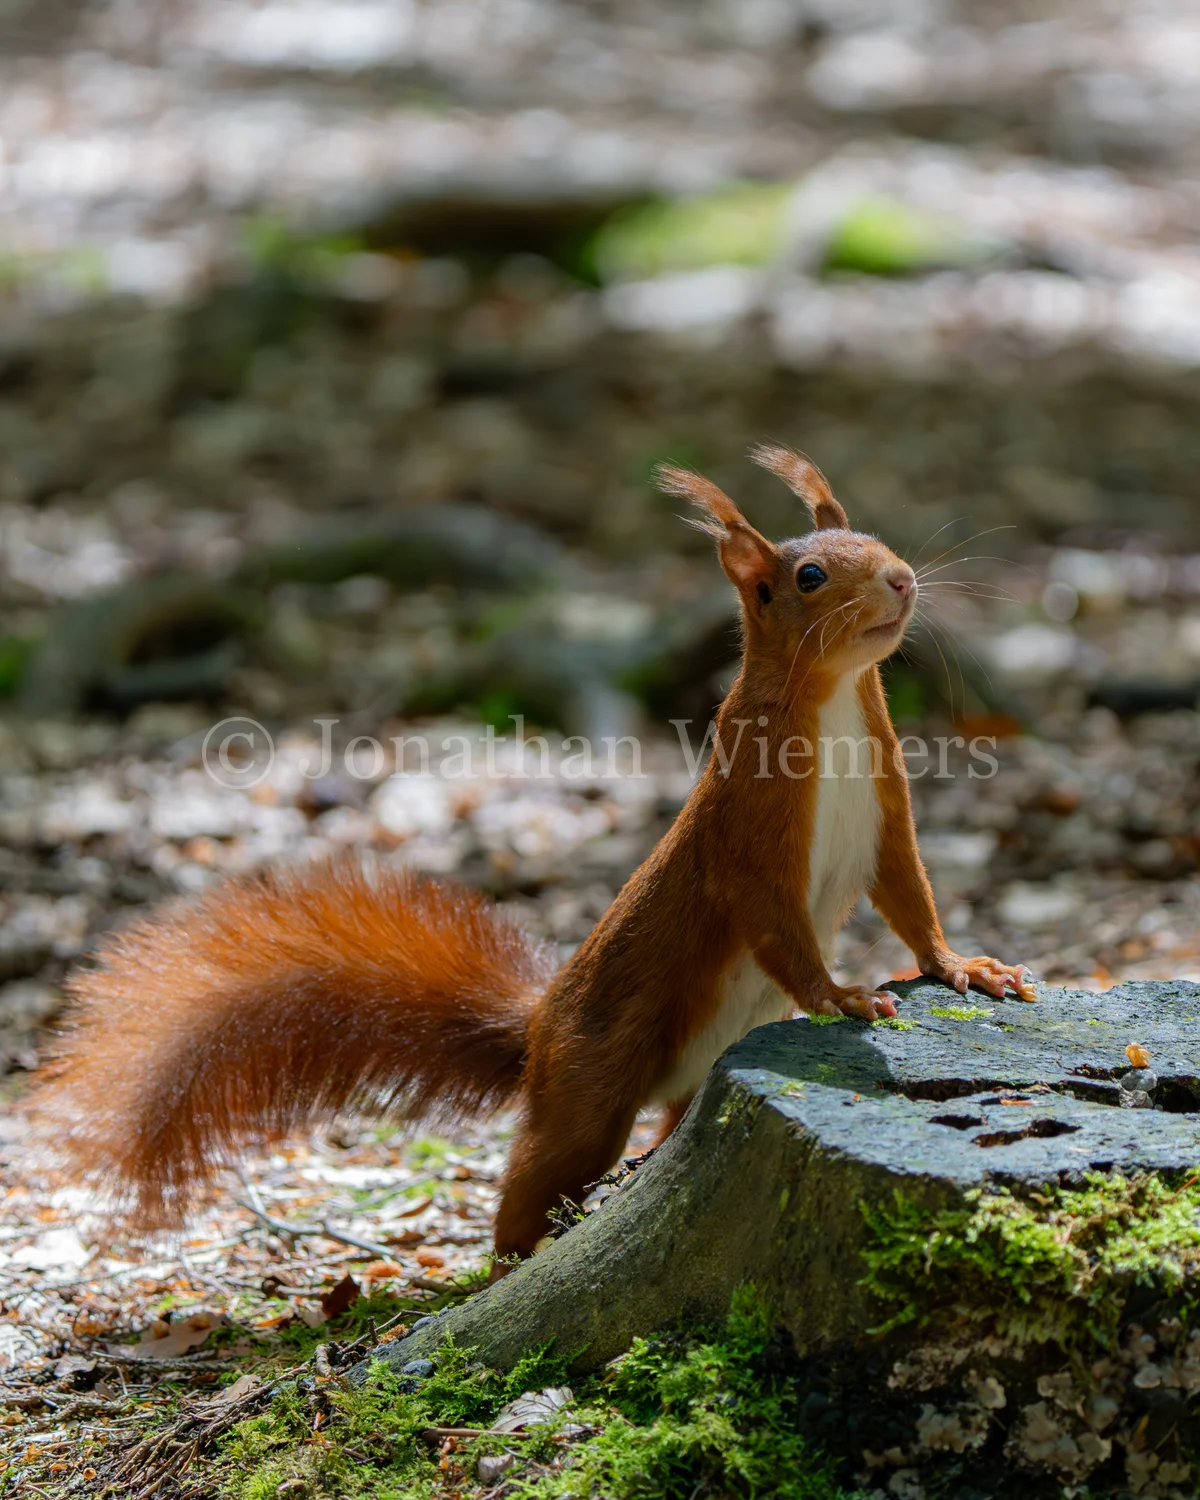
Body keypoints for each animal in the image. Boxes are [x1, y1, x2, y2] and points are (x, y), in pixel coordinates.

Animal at [33, 445, 1033, 1267]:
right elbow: (777, 928)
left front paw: (964, 968)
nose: (902, 580)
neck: (832, 706)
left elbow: (909, 895)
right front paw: (841, 996)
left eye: (879, 538)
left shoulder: (886, 811)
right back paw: (513, 1261)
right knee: (538, 1177)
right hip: (591, 1087)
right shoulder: (749, 834)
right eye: (813, 575)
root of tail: (538, 1030)